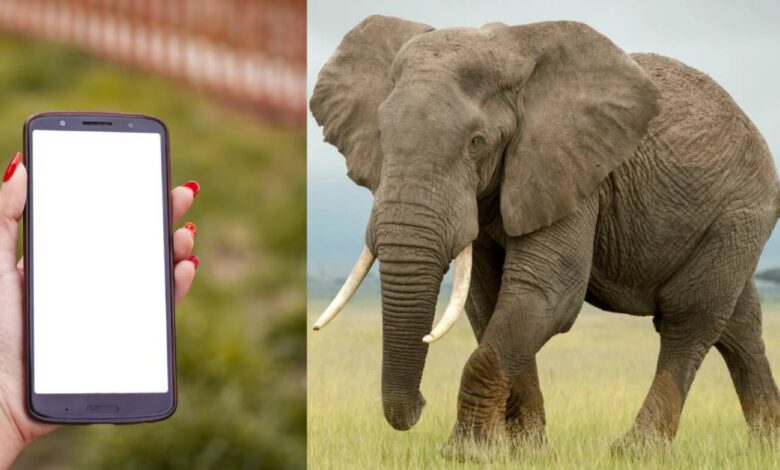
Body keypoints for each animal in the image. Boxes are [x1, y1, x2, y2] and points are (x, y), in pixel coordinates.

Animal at [310, 15, 780, 452]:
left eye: (477, 142)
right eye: (381, 137)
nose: (421, 405)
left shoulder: (574, 172)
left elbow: (546, 293)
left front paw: (468, 452)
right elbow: (488, 300)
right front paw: (523, 449)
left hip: (740, 211)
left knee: (690, 318)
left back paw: (636, 450)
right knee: (737, 326)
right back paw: (765, 445)